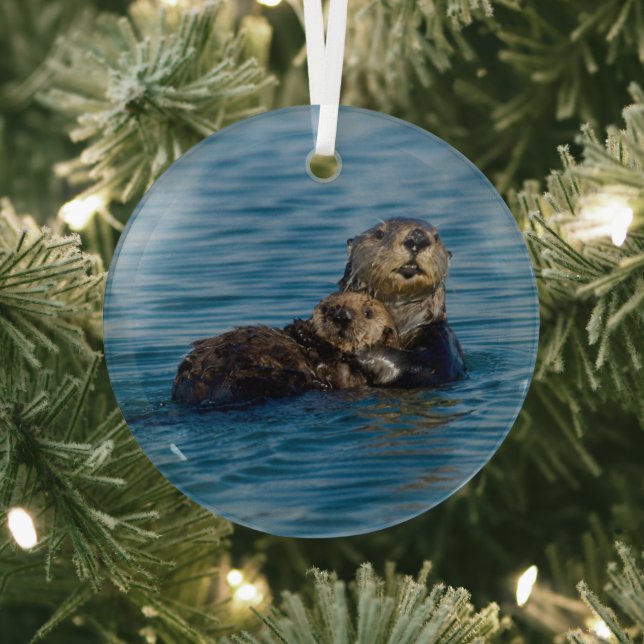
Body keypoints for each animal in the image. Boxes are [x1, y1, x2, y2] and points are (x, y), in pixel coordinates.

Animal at [172, 292, 399, 406]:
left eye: (368, 313)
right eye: (328, 308)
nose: (341, 315)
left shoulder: (351, 376)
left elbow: (340, 374)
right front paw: (301, 328)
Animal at [340, 217, 466, 388]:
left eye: (437, 237)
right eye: (379, 233)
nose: (417, 238)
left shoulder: (444, 343)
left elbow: (425, 367)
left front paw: (360, 348)